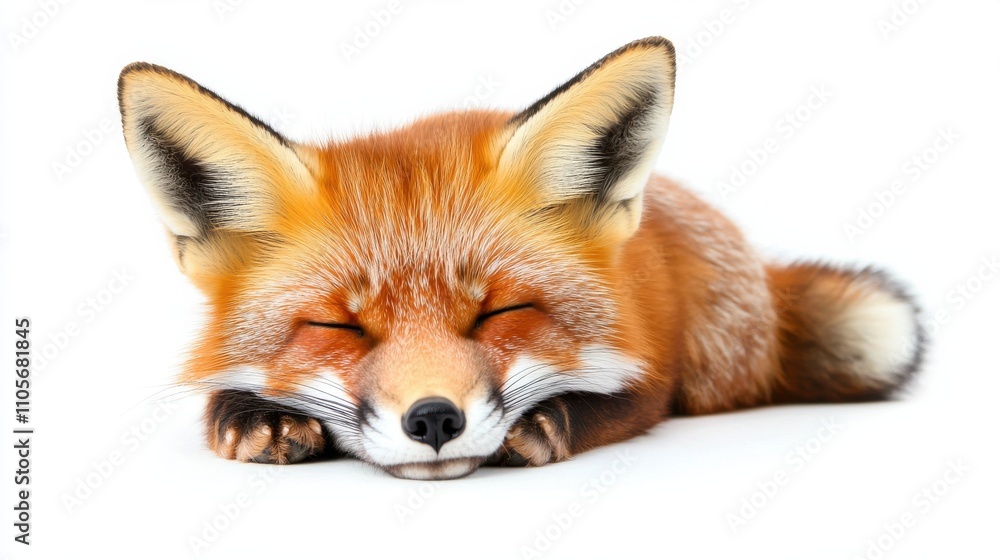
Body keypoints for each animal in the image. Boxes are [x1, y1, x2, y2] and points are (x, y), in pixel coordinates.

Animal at [118, 37, 924, 480]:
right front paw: (256, 413)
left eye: (500, 312)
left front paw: (547, 420)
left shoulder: (646, 357)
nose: (433, 420)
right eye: (337, 328)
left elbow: (621, 401)